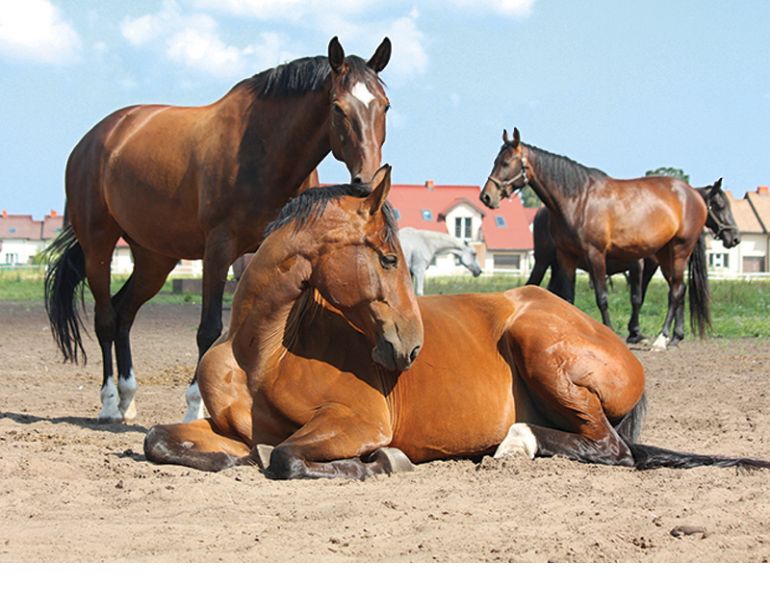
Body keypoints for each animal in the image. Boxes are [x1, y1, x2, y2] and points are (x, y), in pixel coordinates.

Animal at [44, 37, 392, 424]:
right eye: (337, 107)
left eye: (385, 105)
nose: (366, 181)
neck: (264, 149)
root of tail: (95, 139)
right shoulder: (218, 249)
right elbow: (209, 329)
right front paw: (195, 407)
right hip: (99, 246)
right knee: (106, 318)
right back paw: (108, 404)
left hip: (154, 259)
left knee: (124, 313)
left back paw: (127, 399)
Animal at [526, 179, 740, 343]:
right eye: (720, 206)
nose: (735, 237)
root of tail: (543, 212)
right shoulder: (639, 264)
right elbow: (638, 297)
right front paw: (635, 333)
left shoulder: (655, 265)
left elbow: (667, 292)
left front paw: (658, 333)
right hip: (543, 262)